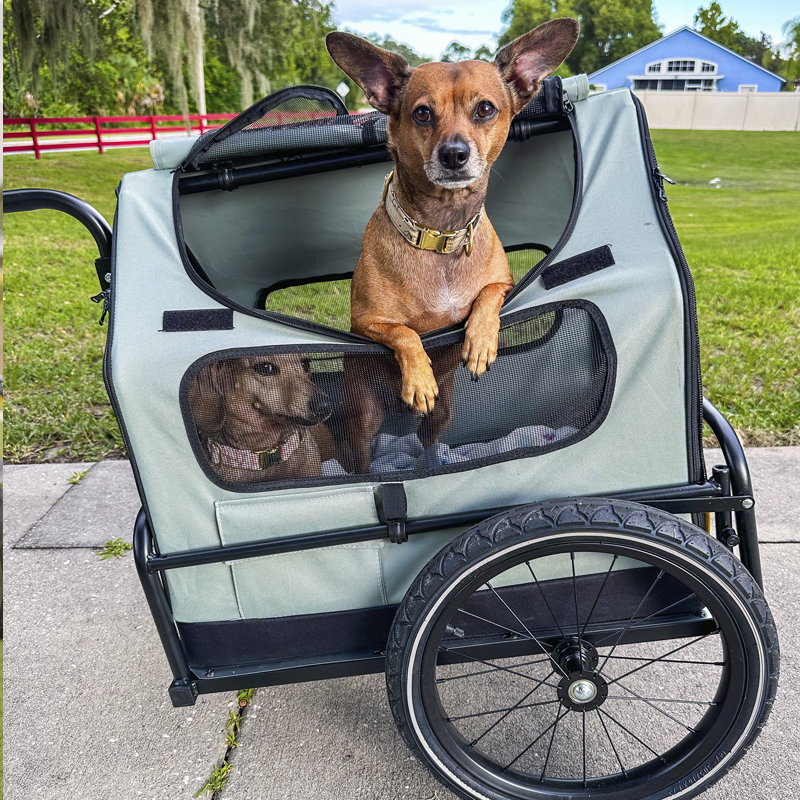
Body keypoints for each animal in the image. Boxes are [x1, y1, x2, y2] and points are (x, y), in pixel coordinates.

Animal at [324, 17, 580, 476]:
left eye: (485, 109)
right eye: (422, 113)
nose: (454, 154)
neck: (441, 231)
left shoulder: (503, 283)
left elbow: (488, 296)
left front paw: (479, 342)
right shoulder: (367, 323)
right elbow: (405, 332)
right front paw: (420, 378)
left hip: (444, 416)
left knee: (429, 445)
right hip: (363, 418)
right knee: (362, 458)